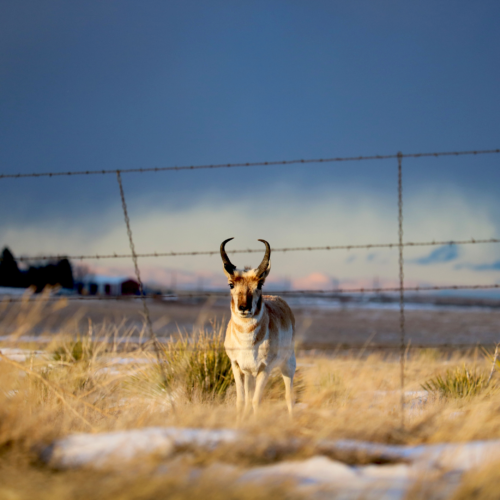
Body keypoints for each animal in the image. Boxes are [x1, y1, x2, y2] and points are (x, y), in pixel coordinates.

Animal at [221, 238, 294, 414]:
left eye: (259, 284)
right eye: (231, 284)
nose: (244, 307)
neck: (247, 341)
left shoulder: (265, 369)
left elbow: (256, 401)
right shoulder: (237, 366)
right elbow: (242, 401)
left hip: (288, 365)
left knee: (289, 396)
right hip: (249, 373)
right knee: (248, 398)